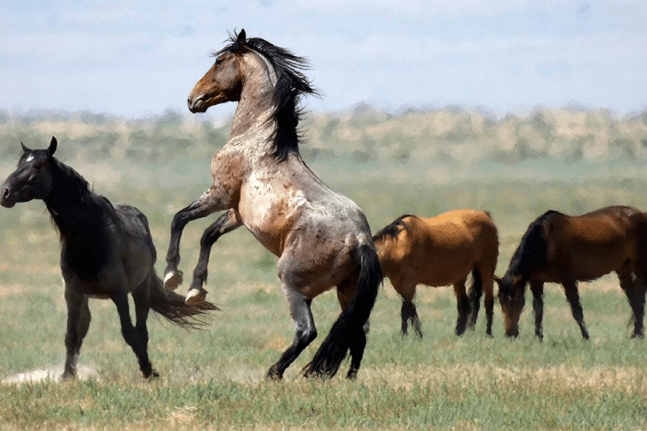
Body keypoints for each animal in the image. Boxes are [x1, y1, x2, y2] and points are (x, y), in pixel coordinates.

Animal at [0, 138, 219, 382]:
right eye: (20, 163)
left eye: (38, 166)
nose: (5, 193)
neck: (90, 235)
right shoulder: (73, 293)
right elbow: (71, 335)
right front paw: (67, 376)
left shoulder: (119, 293)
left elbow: (129, 332)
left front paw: (148, 370)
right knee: (84, 328)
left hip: (140, 288)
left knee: (141, 329)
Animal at [165, 30, 382, 380]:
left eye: (220, 61)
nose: (192, 99)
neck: (257, 139)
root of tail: (360, 239)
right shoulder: (237, 214)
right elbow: (208, 236)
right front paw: (196, 290)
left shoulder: (219, 195)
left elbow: (179, 219)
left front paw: (172, 274)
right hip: (347, 292)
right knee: (357, 332)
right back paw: (347, 380)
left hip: (292, 283)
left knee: (307, 331)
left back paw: (275, 372)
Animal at [372, 211, 498, 340]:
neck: (396, 247)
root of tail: (485, 214)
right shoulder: (398, 284)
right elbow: (409, 309)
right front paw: (412, 335)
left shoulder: (409, 283)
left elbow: (406, 310)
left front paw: (411, 336)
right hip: (460, 278)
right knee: (464, 304)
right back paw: (459, 333)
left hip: (486, 271)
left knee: (488, 301)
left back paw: (488, 333)